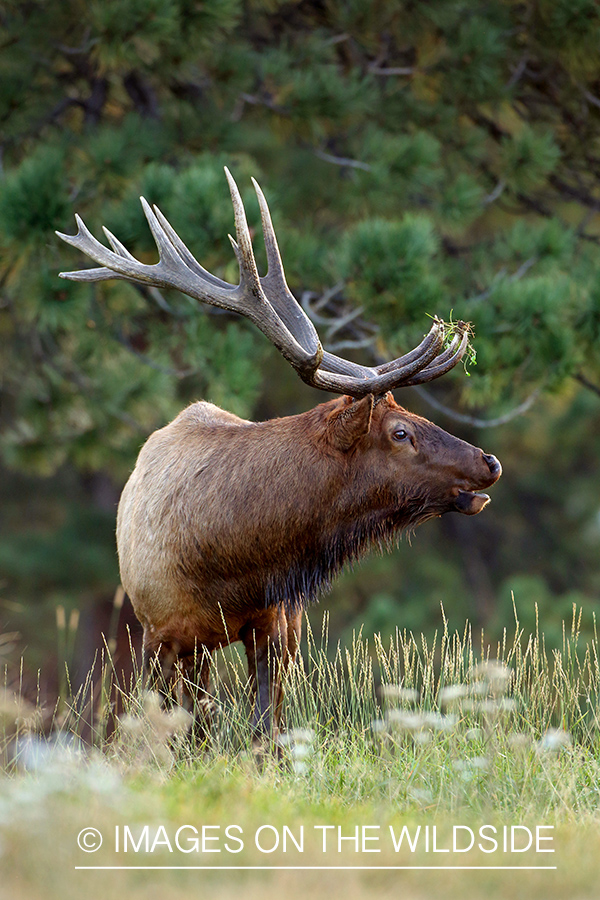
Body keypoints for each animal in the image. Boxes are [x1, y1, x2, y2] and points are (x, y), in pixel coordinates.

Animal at [56, 167, 500, 740]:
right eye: (400, 432)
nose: (489, 462)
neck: (227, 564)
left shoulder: (273, 625)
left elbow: (266, 729)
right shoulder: (159, 632)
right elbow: (177, 731)